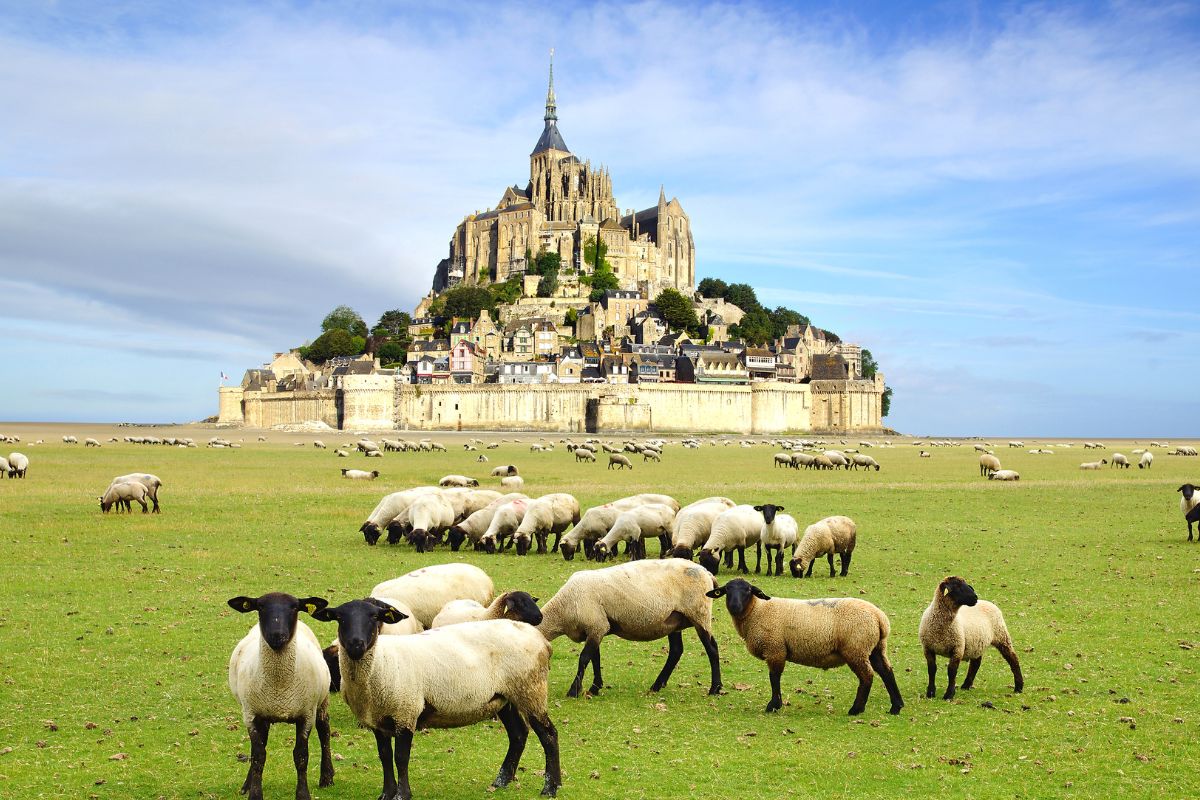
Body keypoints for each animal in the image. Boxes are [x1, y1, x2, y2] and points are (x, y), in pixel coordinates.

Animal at [225, 592, 336, 796]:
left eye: (294, 607)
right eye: (260, 607)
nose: (277, 635)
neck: (280, 686)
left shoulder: (306, 715)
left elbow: (301, 756)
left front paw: (303, 794)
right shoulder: (250, 714)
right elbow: (258, 755)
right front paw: (254, 792)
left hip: (322, 700)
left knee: (324, 730)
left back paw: (327, 777)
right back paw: (247, 784)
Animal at [314, 604, 566, 800]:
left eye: (374, 617)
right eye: (340, 618)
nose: (356, 643)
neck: (382, 663)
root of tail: (542, 641)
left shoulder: (406, 711)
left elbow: (401, 758)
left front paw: (402, 794)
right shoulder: (379, 720)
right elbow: (384, 756)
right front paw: (386, 793)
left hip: (530, 689)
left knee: (549, 735)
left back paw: (551, 787)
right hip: (504, 697)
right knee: (518, 734)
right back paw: (502, 780)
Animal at [537, 561, 720, 695]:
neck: (562, 608)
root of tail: (706, 572)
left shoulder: (597, 625)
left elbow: (584, 658)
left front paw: (574, 691)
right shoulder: (596, 627)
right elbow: (595, 658)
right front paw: (595, 687)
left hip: (700, 614)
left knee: (712, 649)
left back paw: (715, 688)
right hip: (674, 620)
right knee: (676, 651)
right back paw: (656, 685)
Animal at [700, 578, 902, 714]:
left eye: (748, 590)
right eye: (727, 590)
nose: (734, 606)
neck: (757, 610)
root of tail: (879, 618)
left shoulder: (775, 649)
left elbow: (774, 678)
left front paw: (773, 705)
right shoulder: (776, 650)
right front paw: (776, 704)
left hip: (856, 648)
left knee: (867, 676)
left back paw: (856, 709)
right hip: (875, 648)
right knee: (887, 672)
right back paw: (896, 706)